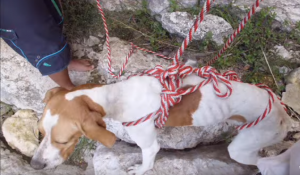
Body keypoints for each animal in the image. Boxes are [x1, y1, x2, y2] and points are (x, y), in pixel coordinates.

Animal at [29, 73, 290, 174]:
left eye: (63, 140)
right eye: (39, 132)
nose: (35, 165)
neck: (118, 95)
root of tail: (283, 113)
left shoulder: (148, 144)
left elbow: (147, 161)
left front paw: (139, 170)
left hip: (242, 149)